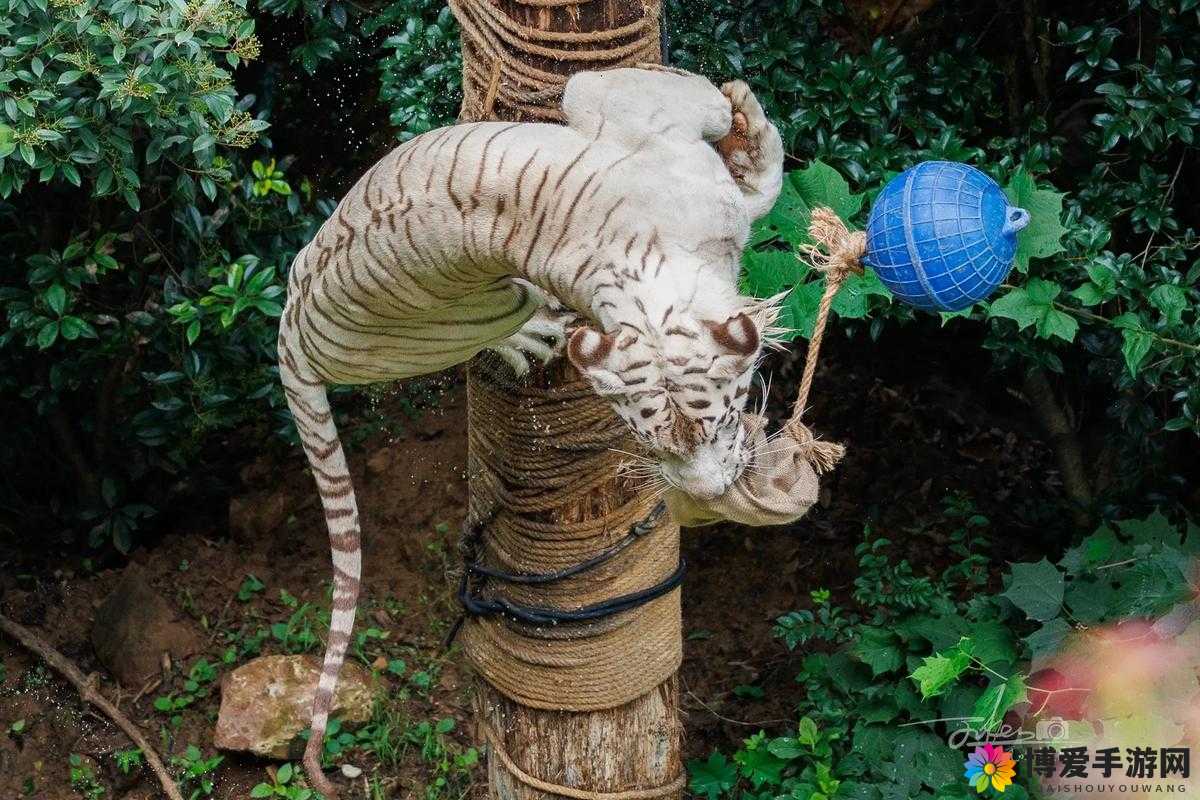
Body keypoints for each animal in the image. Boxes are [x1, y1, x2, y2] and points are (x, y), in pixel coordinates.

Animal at [277, 66, 784, 796]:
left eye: (716, 431)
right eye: (659, 448)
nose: (712, 495)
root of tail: (291, 335)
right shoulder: (628, 102)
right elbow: (741, 157)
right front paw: (745, 117)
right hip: (478, 310)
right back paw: (534, 335)